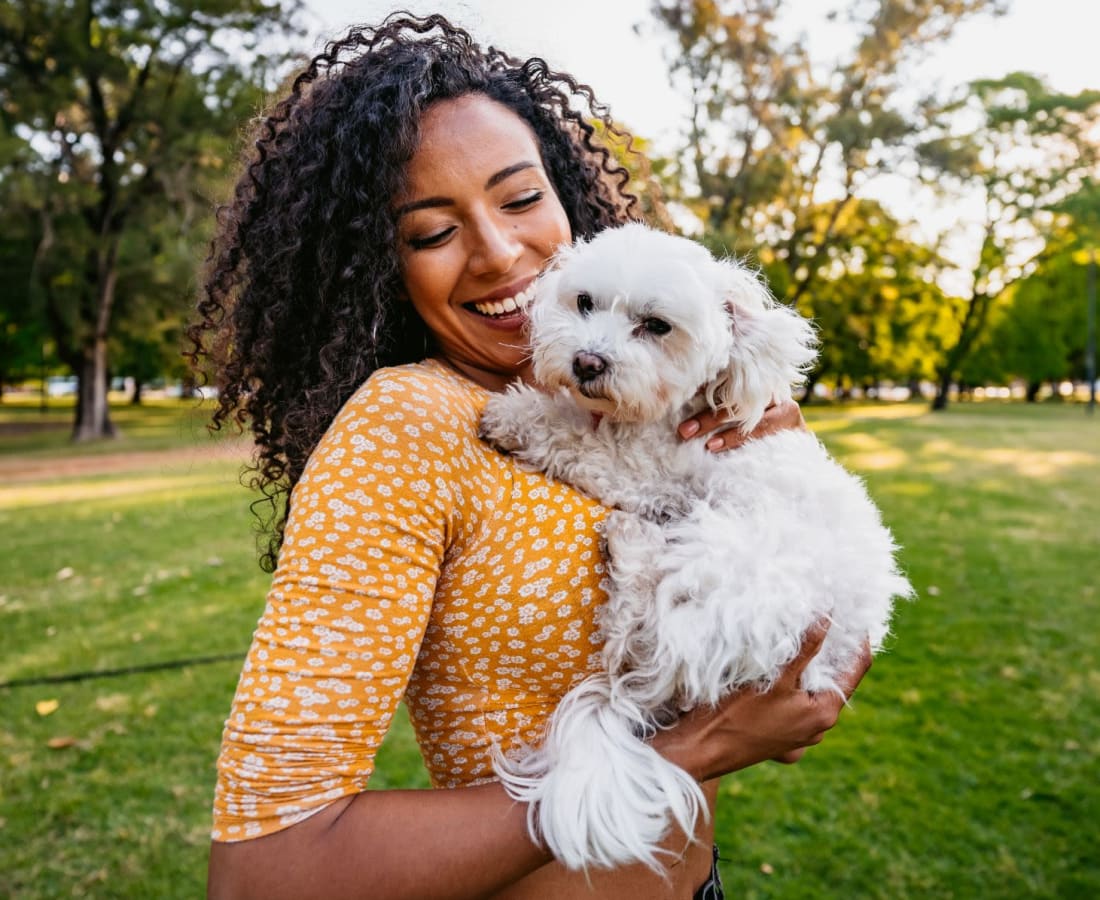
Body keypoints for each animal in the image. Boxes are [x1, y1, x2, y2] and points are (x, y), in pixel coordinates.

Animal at [479, 222, 910, 871]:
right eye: (584, 303)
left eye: (657, 326)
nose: (587, 362)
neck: (666, 416)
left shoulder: (645, 470)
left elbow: (576, 440)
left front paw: (516, 415)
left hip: (731, 562)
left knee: (639, 631)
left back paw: (631, 546)